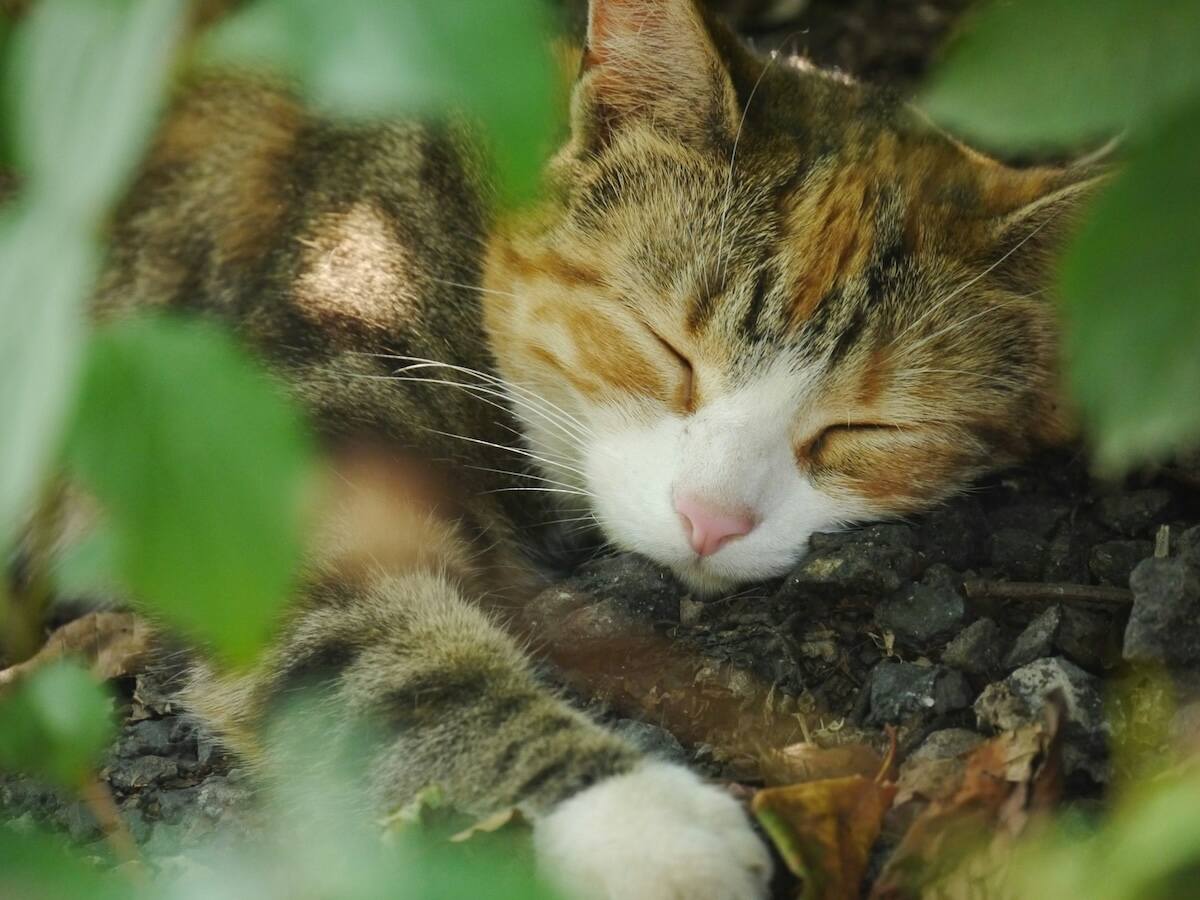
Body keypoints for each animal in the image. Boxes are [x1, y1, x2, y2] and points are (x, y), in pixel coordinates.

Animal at [91, 0, 1104, 897]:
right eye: (667, 349)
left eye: (866, 430)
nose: (711, 519)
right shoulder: (277, 429)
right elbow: (392, 656)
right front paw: (623, 815)